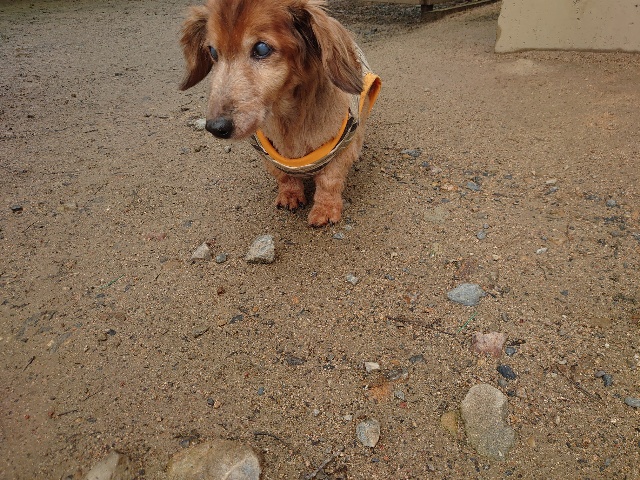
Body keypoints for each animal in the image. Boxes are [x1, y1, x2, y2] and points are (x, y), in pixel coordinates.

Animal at [180, 0, 381, 226]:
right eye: (213, 52)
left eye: (261, 49)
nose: (216, 127)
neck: (289, 121)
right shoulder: (267, 155)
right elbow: (283, 176)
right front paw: (290, 195)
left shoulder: (341, 151)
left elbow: (329, 180)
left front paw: (325, 210)